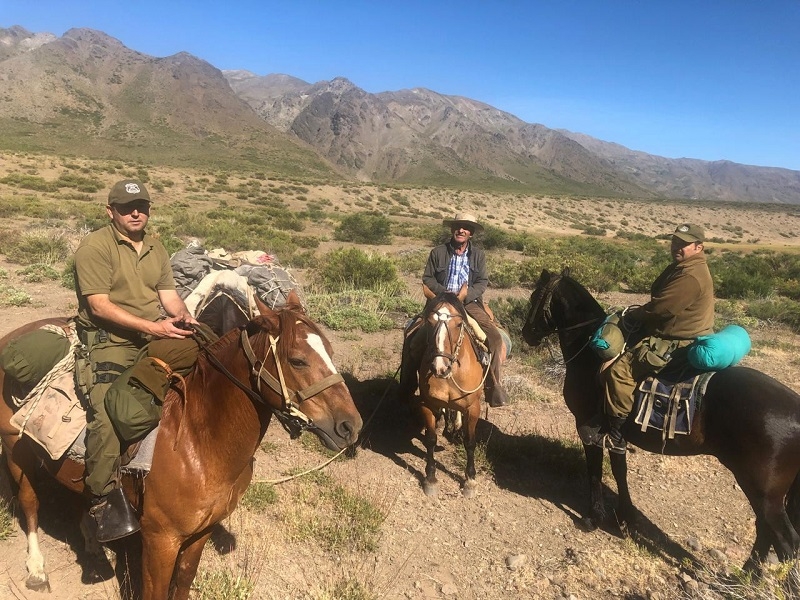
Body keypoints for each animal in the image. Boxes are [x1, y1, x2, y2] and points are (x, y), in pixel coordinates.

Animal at [0, 290, 362, 596]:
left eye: (331, 353)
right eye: (297, 360)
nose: (350, 426)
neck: (197, 440)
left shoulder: (199, 534)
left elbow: (184, 581)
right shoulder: (161, 541)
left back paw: (94, 550)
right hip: (16, 451)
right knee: (30, 504)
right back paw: (37, 570)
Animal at [520, 268, 800, 572]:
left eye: (534, 297)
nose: (526, 334)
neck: (590, 356)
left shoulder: (586, 426)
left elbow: (595, 470)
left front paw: (594, 517)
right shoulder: (615, 435)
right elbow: (619, 470)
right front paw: (626, 517)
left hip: (764, 491)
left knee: (785, 541)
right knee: (766, 532)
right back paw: (741, 576)